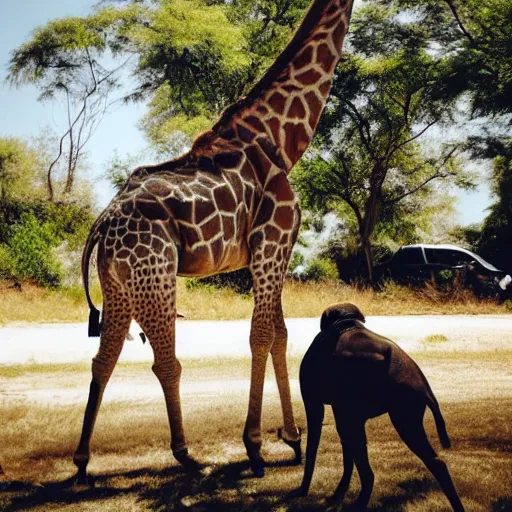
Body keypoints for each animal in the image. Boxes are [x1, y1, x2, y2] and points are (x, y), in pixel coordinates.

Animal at [76, 0, 354, 482]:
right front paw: (256, 445)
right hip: (155, 277)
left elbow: (280, 334)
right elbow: (261, 336)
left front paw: (292, 438)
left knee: (104, 357)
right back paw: (186, 454)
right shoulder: (273, 240)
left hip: (118, 284)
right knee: (165, 361)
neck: (281, 139)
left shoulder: (273, 249)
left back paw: (81, 461)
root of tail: (102, 225)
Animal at [296, 302, 464, 510]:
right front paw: (335, 497)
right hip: (404, 404)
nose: (300, 492)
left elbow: (318, 423)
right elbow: (345, 437)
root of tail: (425, 388)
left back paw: (357, 504)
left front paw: (305, 492)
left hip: (403, 406)